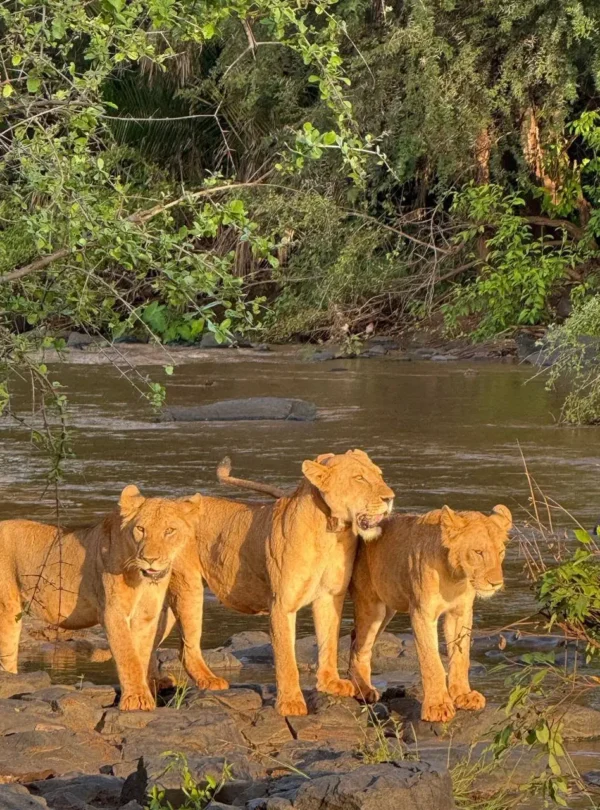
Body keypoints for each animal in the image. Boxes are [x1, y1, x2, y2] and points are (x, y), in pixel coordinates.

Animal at [0, 486, 201, 711]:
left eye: (170, 531)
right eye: (141, 529)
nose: (149, 559)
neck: (143, 581)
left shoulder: (146, 617)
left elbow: (140, 656)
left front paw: (143, 694)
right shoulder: (113, 612)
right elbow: (127, 655)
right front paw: (137, 700)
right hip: (7, 608)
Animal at [163, 450, 395, 717]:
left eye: (379, 474)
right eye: (359, 478)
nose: (390, 498)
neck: (330, 533)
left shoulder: (329, 596)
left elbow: (329, 642)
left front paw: (331, 684)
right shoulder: (282, 604)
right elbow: (286, 657)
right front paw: (291, 703)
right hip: (188, 586)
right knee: (187, 646)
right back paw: (209, 680)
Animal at [348, 504, 512, 722]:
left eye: (500, 552)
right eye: (478, 552)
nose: (496, 583)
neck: (455, 577)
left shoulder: (460, 613)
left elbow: (461, 657)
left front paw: (463, 696)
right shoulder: (422, 613)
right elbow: (431, 660)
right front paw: (437, 706)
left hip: (387, 610)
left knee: (354, 637)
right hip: (372, 607)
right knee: (360, 646)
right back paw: (363, 690)